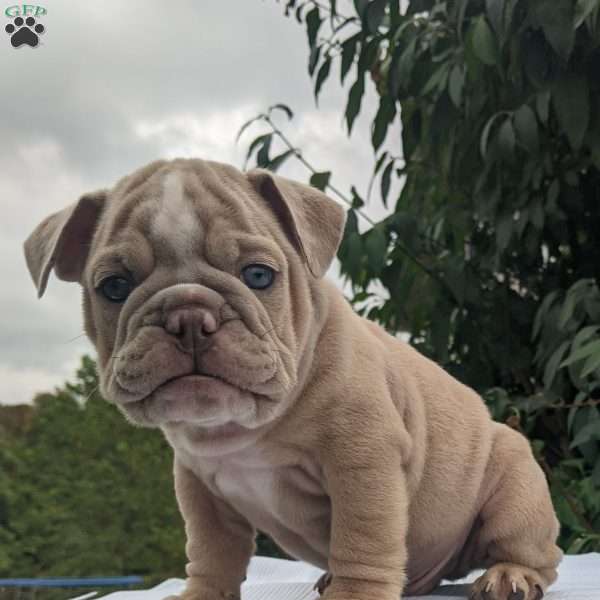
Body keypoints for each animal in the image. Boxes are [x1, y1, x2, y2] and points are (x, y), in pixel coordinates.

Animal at [24, 159, 564, 600]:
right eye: (114, 287)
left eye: (259, 276)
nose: (188, 316)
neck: (238, 427)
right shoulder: (200, 488)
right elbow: (211, 553)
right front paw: (202, 594)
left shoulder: (363, 462)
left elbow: (362, 539)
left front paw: (354, 595)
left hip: (516, 490)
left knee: (536, 555)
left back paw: (509, 576)